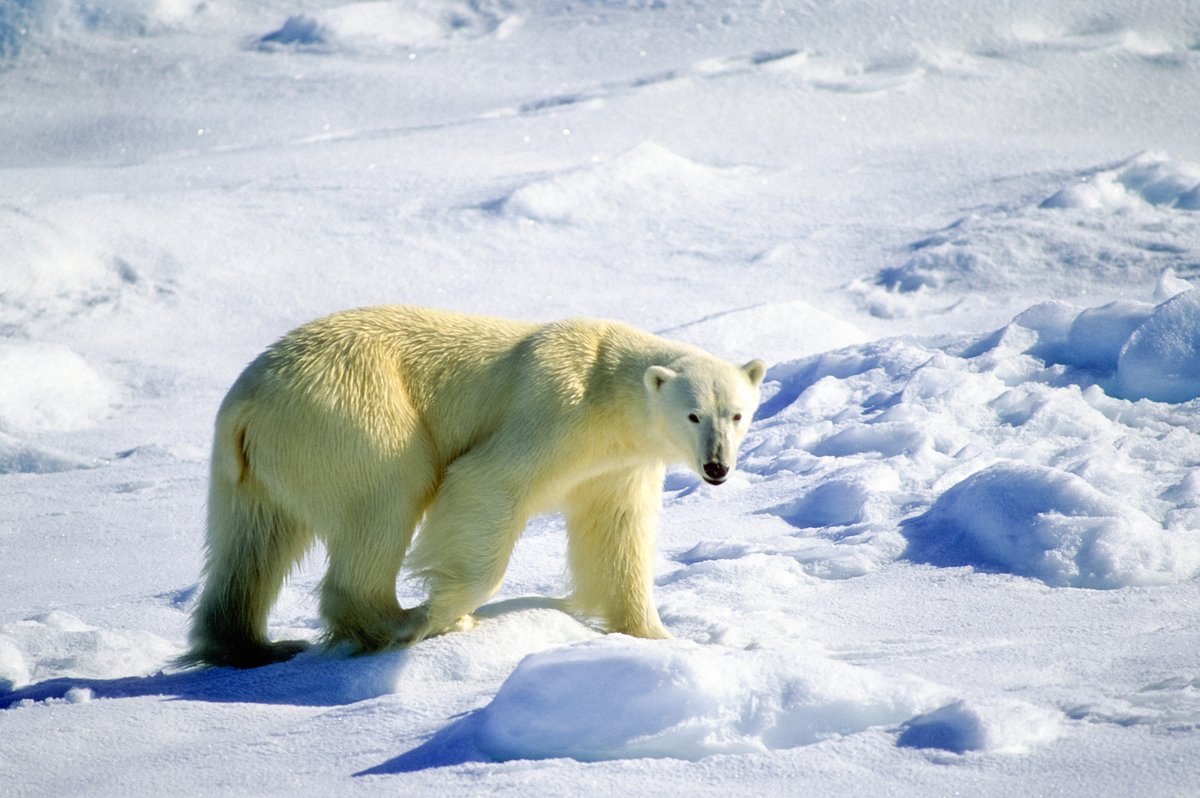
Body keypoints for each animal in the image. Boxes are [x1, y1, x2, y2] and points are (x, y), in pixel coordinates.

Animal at [182, 306, 766, 668]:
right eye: (693, 415)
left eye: (737, 414)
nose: (717, 467)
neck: (608, 389)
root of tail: (247, 402)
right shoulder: (555, 411)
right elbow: (485, 481)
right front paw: (444, 611)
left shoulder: (617, 465)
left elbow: (617, 535)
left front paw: (659, 637)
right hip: (353, 411)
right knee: (388, 494)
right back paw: (401, 623)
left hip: (255, 464)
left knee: (252, 541)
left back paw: (249, 645)